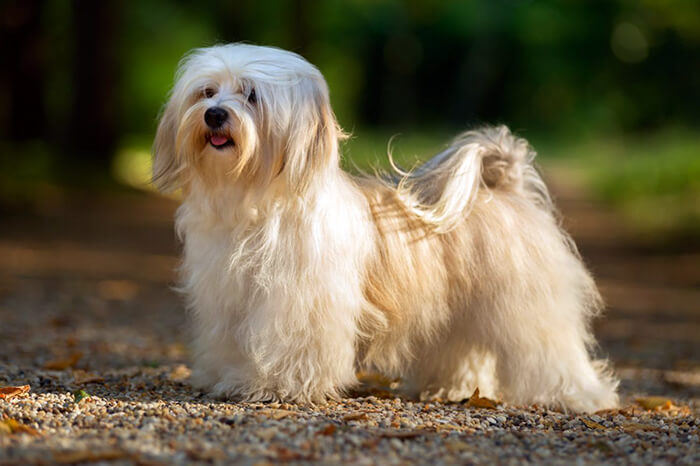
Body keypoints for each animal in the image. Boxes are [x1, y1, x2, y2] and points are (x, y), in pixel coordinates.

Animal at [152, 42, 616, 412]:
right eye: (207, 91)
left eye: (251, 95)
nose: (214, 114)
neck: (254, 199)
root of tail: (506, 184)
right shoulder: (227, 299)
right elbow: (230, 341)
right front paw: (228, 377)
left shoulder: (297, 304)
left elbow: (290, 347)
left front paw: (274, 387)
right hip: (457, 312)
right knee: (461, 349)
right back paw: (448, 388)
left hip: (528, 308)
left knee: (550, 351)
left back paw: (579, 397)